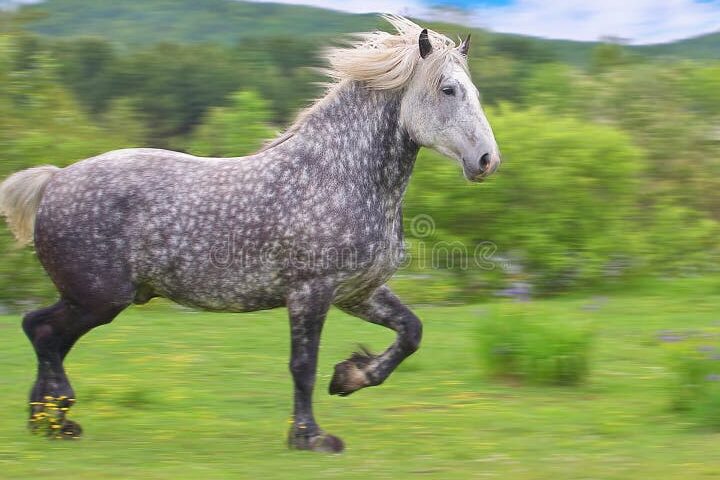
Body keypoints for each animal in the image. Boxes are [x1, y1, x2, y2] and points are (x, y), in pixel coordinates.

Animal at [0, 16, 500, 453]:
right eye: (448, 89)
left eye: (475, 91)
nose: (487, 160)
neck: (338, 176)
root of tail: (54, 181)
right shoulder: (310, 292)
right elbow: (302, 365)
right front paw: (311, 437)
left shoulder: (358, 292)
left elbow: (410, 332)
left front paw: (348, 378)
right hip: (99, 298)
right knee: (42, 331)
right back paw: (55, 418)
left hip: (92, 299)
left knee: (43, 332)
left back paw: (50, 421)